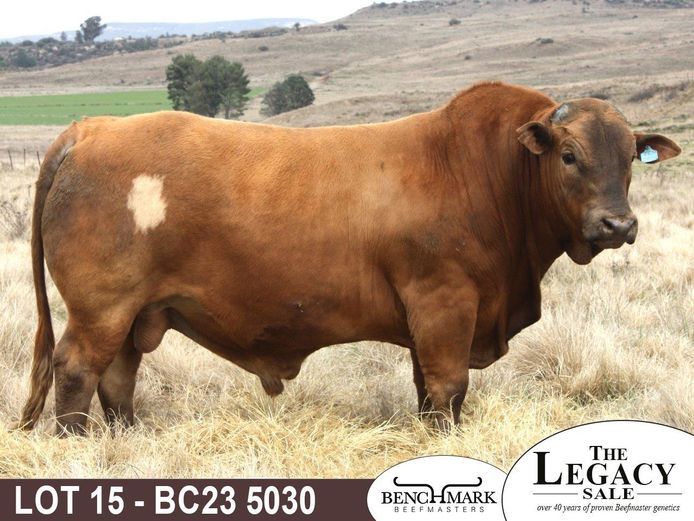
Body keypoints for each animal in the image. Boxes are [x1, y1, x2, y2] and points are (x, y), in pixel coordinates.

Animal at [18, 82, 680, 435]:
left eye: (630, 156)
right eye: (569, 155)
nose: (618, 225)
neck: (486, 171)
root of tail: (89, 128)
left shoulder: (428, 322)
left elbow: (426, 388)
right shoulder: (445, 304)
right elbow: (449, 388)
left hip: (134, 314)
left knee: (118, 377)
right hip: (101, 308)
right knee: (77, 370)